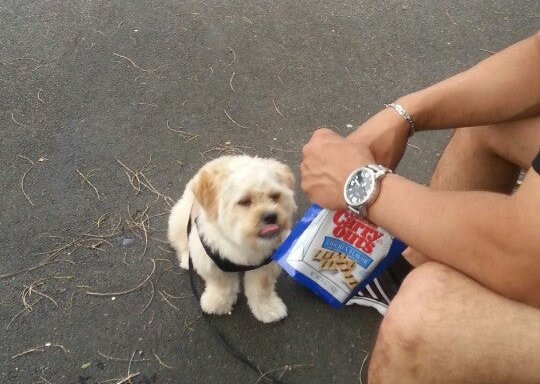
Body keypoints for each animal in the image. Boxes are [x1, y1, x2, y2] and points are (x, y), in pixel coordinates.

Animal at [168, 154, 298, 322]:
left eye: (275, 196)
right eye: (244, 201)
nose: (271, 216)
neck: (243, 243)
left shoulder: (265, 265)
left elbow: (261, 289)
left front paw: (268, 308)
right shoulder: (211, 263)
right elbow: (221, 286)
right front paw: (217, 304)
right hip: (180, 218)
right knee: (183, 242)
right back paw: (186, 259)